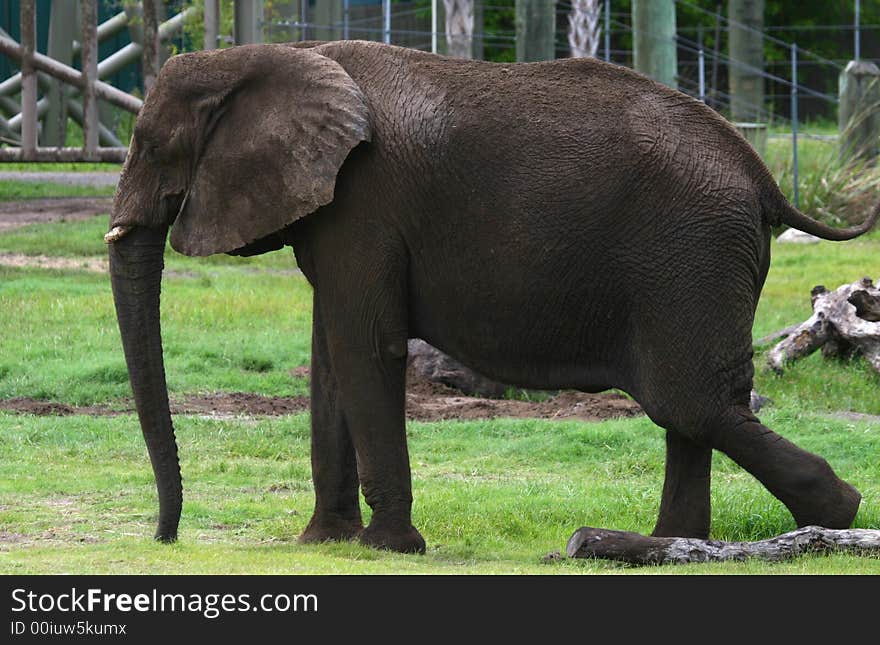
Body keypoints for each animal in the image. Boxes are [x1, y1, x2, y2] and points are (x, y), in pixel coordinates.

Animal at [106, 40, 876, 552]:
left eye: (149, 146)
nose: (166, 537)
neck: (271, 58)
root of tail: (763, 174)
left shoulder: (363, 204)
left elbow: (365, 350)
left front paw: (388, 548)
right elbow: (331, 358)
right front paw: (322, 543)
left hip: (690, 252)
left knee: (690, 401)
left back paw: (835, 511)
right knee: (688, 408)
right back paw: (662, 544)